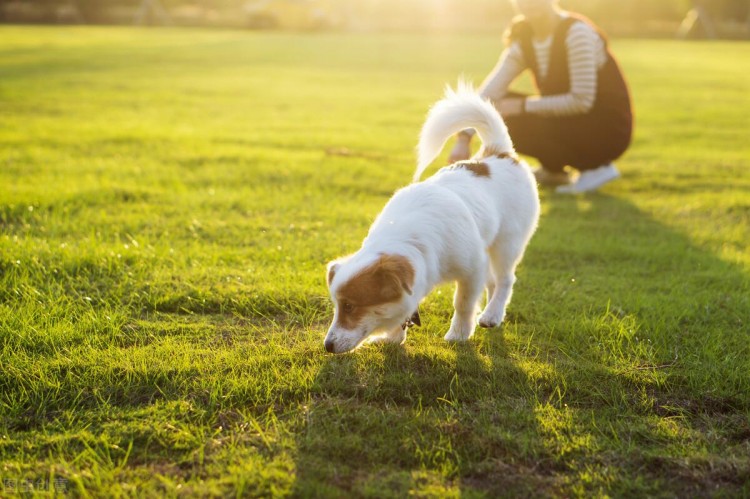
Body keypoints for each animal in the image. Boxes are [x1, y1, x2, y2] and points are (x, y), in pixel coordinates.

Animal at [324, 86, 540, 354]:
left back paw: (493, 314)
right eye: (336, 306)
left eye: (350, 306)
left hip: (507, 243)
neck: (409, 238)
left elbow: (463, 303)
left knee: (505, 280)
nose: (327, 346)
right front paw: (392, 337)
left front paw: (459, 333)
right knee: (492, 282)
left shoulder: (472, 268)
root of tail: (497, 153)